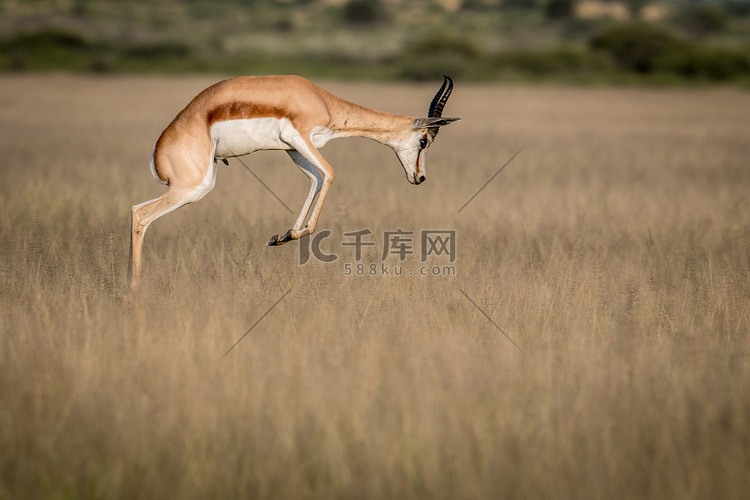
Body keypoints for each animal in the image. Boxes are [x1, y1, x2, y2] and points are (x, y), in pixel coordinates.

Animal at [128, 76, 458, 292]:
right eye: (424, 140)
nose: (419, 177)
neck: (321, 100)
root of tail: (158, 151)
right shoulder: (298, 137)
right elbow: (330, 173)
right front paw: (292, 234)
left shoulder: (292, 149)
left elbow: (315, 178)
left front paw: (284, 236)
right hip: (192, 187)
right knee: (140, 214)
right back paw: (134, 290)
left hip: (199, 184)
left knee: (137, 211)